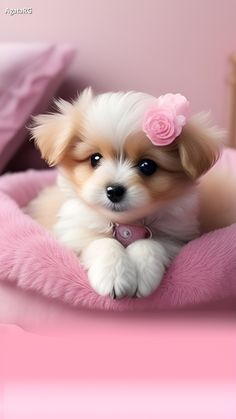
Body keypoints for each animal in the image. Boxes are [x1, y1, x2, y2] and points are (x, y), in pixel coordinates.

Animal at [27, 88, 221, 298]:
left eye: (147, 166)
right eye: (95, 159)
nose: (114, 191)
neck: (126, 224)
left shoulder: (176, 237)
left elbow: (151, 244)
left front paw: (143, 273)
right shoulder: (73, 233)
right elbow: (103, 242)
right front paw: (113, 275)